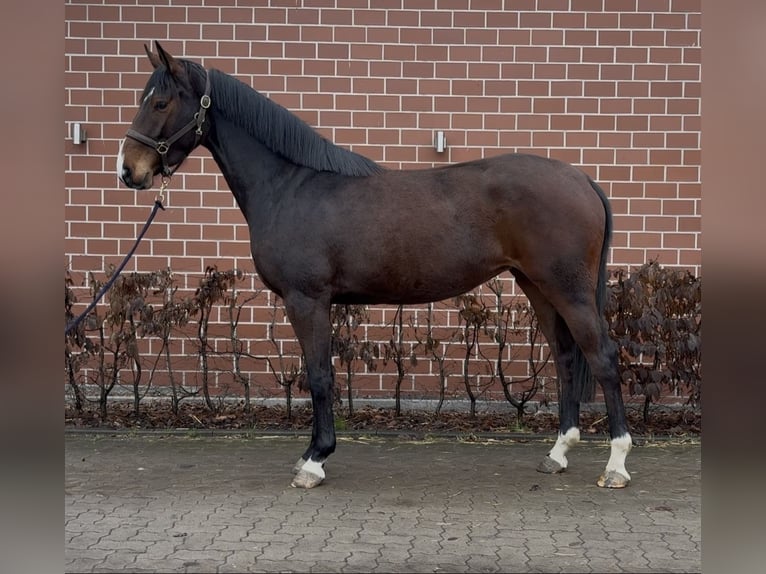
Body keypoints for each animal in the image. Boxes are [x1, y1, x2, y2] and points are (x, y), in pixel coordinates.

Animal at [118, 41, 633, 490]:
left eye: (160, 102)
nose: (129, 171)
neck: (290, 185)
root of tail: (582, 179)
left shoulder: (308, 300)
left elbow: (319, 376)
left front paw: (315, 460)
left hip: (568, 289)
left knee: (603, 357)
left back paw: (616, 465)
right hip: (536, 286)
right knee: (566, 358)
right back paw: (558, 454)